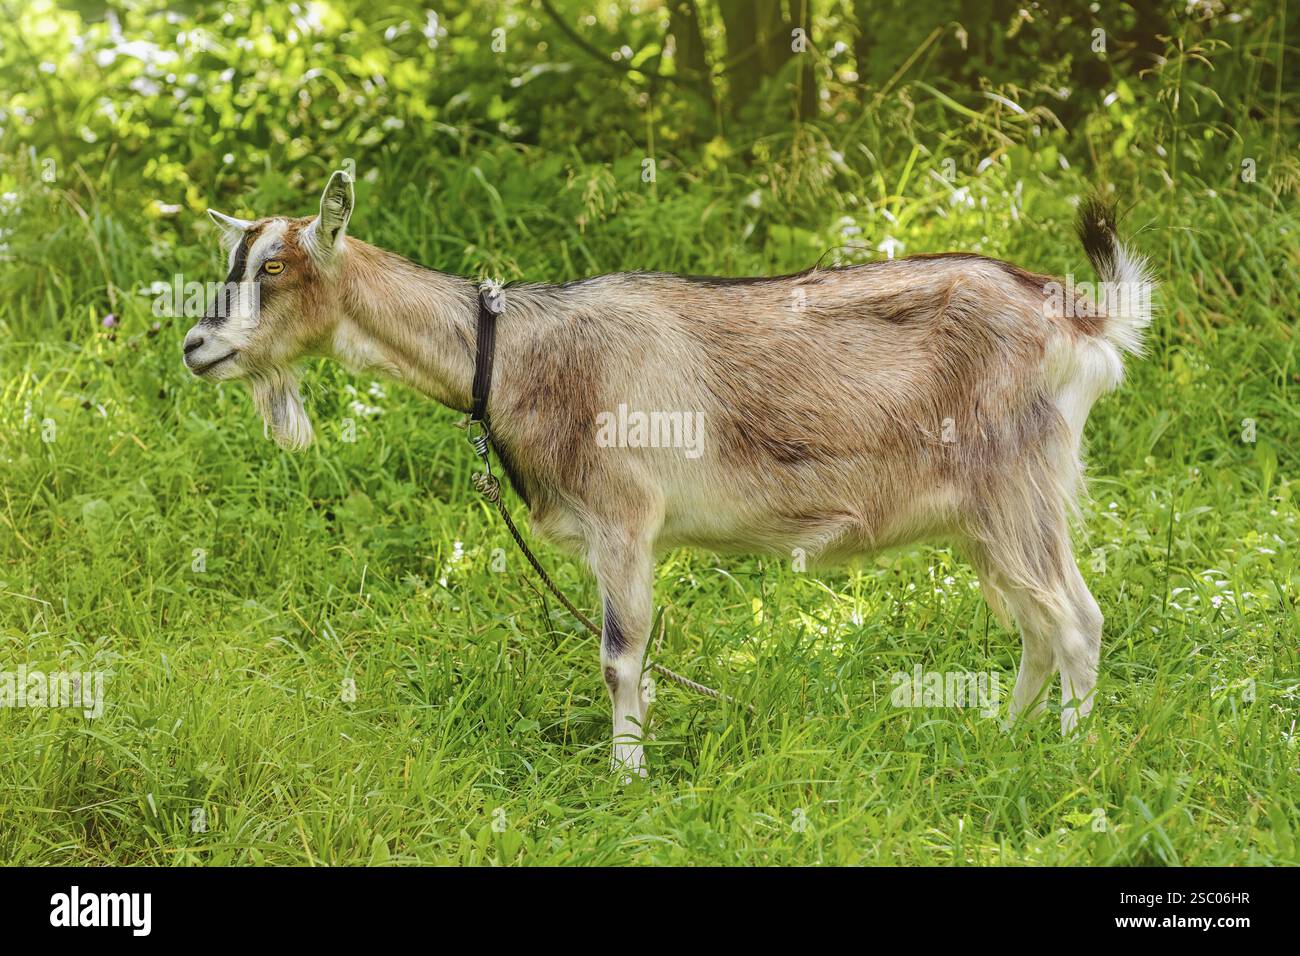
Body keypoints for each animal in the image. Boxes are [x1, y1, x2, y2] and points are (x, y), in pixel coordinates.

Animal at [183, 171, 1153, 774]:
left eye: (276, 265)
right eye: (234, 259)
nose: (196, 346)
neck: (520, 353)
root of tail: (1078, 319)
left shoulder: (624, 517)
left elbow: (621, 655)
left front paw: (627, 779)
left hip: (1017, 487)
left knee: (1076, 621)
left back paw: (1068, 761)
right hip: (986, 514)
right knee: (1036, 628)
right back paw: (1002, 738)